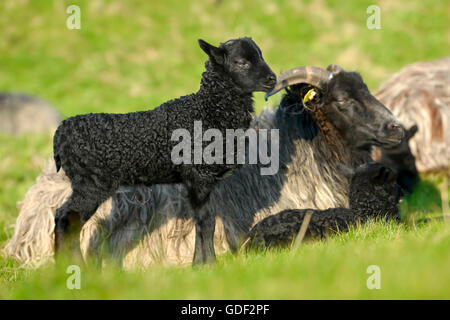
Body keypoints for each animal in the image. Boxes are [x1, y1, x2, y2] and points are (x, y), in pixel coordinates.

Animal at [51, 36, 276, 264]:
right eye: (241, 62)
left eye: (261, 55)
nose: (272, 79)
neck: (209, 111)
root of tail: (61, 133)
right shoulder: (199, 176)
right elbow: (206, 223)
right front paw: (208, 264)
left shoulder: (200, 181)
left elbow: (203, 222)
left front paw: (198, 264)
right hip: (91, 184)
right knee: (66, 218)